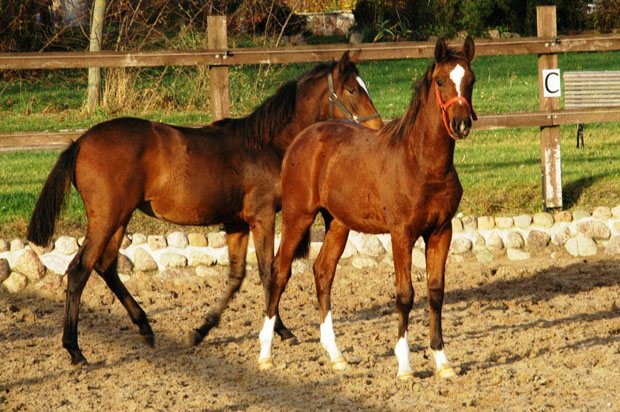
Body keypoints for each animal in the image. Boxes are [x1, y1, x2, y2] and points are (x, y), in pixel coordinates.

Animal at [27, 50, 382, 364]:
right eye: (352, 90)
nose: (377, 129)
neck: (267, 145)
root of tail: (80, 142)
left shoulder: (237, 223)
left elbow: (237, 276)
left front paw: (200, 331)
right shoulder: (262, 216)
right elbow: (268, 273)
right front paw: (282, 331)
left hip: (120, 218)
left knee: (106, 266)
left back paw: (145, 327)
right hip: (107, 217)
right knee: (79, 270)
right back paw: (75, 349)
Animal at [260, 38, 478, 380]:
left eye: (470, 80)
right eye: (441, 81)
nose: (461, 123)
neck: (421, 163)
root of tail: (303, 138)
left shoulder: (442, 232)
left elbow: (436, 292)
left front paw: (442, 361)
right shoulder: (401, 234)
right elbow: (405, 295)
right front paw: (405, 366)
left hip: (338, 223)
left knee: (323, 273)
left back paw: (336, 356)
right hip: (298, 216)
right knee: (279, 272)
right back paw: (266, 354)